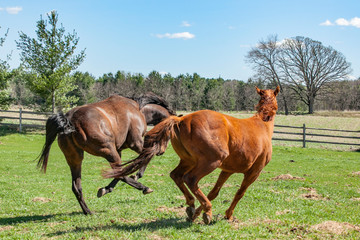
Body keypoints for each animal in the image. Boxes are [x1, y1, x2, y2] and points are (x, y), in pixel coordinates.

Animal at [37, 91, 175, 214]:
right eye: (170, 133)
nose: (162, 151)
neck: (138, 109)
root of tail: (70, 121)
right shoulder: (136, 143)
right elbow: (145, 158)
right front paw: (136, 176)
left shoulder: (119, 150)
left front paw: (107, 188)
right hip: (108, 151)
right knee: (120, 173)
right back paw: (144, 187)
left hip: (75, 159)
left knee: (78, 186)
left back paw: (89, 211)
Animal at [105, 86, 280, 223]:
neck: (263, 124)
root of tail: (181, 120)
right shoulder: (254, 172)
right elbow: (239, 193)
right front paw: (227, 215)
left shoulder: (227, 170)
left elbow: (214, 192)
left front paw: (197, 214)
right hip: (210, 162)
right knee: (190, 179)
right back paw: (207, 210)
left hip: (188, 161)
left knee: (176, 176)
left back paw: (191, 206)